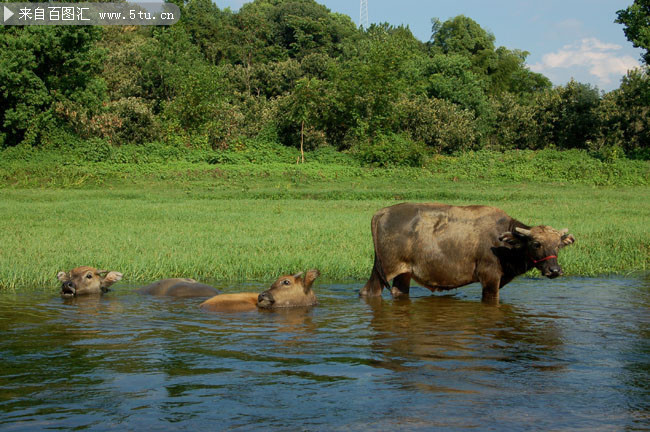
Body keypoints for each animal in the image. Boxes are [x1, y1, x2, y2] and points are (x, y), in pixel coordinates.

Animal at [356, 204, 576, 302]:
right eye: (536, 244)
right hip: (384, 269)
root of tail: (382, 212)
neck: (503, 242)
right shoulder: (489, 277)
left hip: (404, 272)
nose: (554, 270)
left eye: (558, 245)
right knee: (369, 291)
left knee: (399, 291)